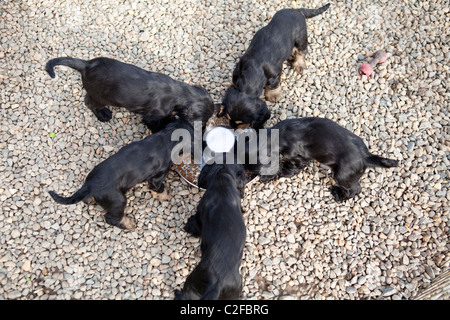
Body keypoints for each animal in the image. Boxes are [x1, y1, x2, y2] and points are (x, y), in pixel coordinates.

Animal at [45, 56, 214, 132]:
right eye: (201, 123)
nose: (202, 131)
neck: (179, 92)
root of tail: (87, 65)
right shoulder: (154, 115)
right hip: (99, 95)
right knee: (89, 101)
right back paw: (103, 114)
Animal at [48, 118, 193, 230]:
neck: (167, 137)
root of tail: (90, 185)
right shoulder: (157, 177)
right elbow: (159, 188)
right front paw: (166, 194)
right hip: (118, 201)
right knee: (110, 218)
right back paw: (128, 224)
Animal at [175, 158, 246, 300]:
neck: (223, 177)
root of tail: (216, 285)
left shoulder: (201, 210)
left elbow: (196, 222)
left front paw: (189, 226)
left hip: (191, 282)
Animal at [246, 117, 398, 202]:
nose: (260, 180)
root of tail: (366, 156)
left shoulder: (299, 157)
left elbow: (293, 167)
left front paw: (284, 172)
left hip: (343, 176)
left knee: (354, 190)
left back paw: (338, 195)